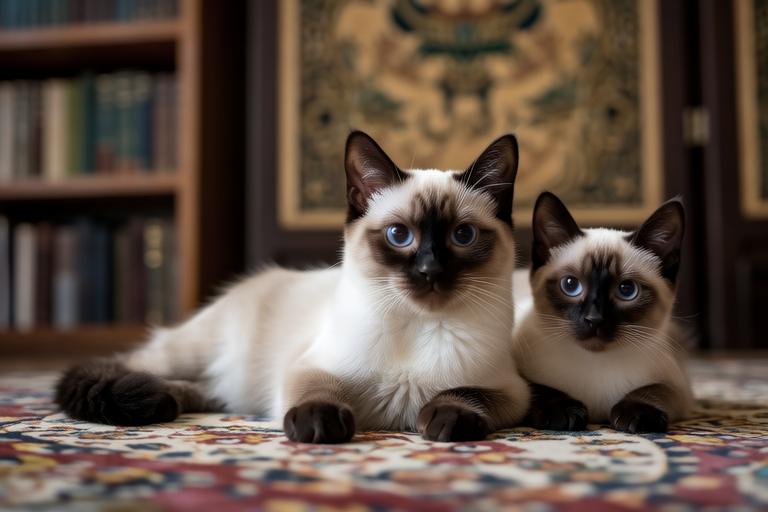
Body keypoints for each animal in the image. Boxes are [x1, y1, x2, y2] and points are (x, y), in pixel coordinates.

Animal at [56, 131, 531, 443]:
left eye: (463, 237)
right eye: (400, 236)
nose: (430, 271)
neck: (418, 327)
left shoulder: (511, 391)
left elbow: (464, 394)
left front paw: (445, 422)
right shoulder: (308, 366)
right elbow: (319, 391)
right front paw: (320, 427)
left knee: (206, 390)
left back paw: (164, 402)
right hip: (191, 352)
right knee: (134, 365)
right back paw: (151, 400)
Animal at [512, 192, 693, 433]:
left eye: (626, 290)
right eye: (570, 285)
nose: (594, 319)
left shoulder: (679, 388)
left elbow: (654, 389)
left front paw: (638, 414)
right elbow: (536, 388)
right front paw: (563, 412)